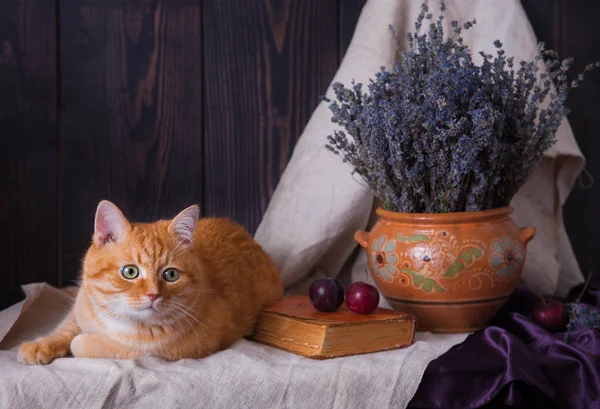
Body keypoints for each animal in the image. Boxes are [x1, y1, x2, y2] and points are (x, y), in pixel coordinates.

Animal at [16, 199, 284, 362]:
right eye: (130, 272)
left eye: (171, 275)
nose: (153, 295)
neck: (119, 317)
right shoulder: (82, 305)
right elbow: (65, 327)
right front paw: (41, 345)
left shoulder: (176, 349)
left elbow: (95, 345)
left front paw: (82, 342)